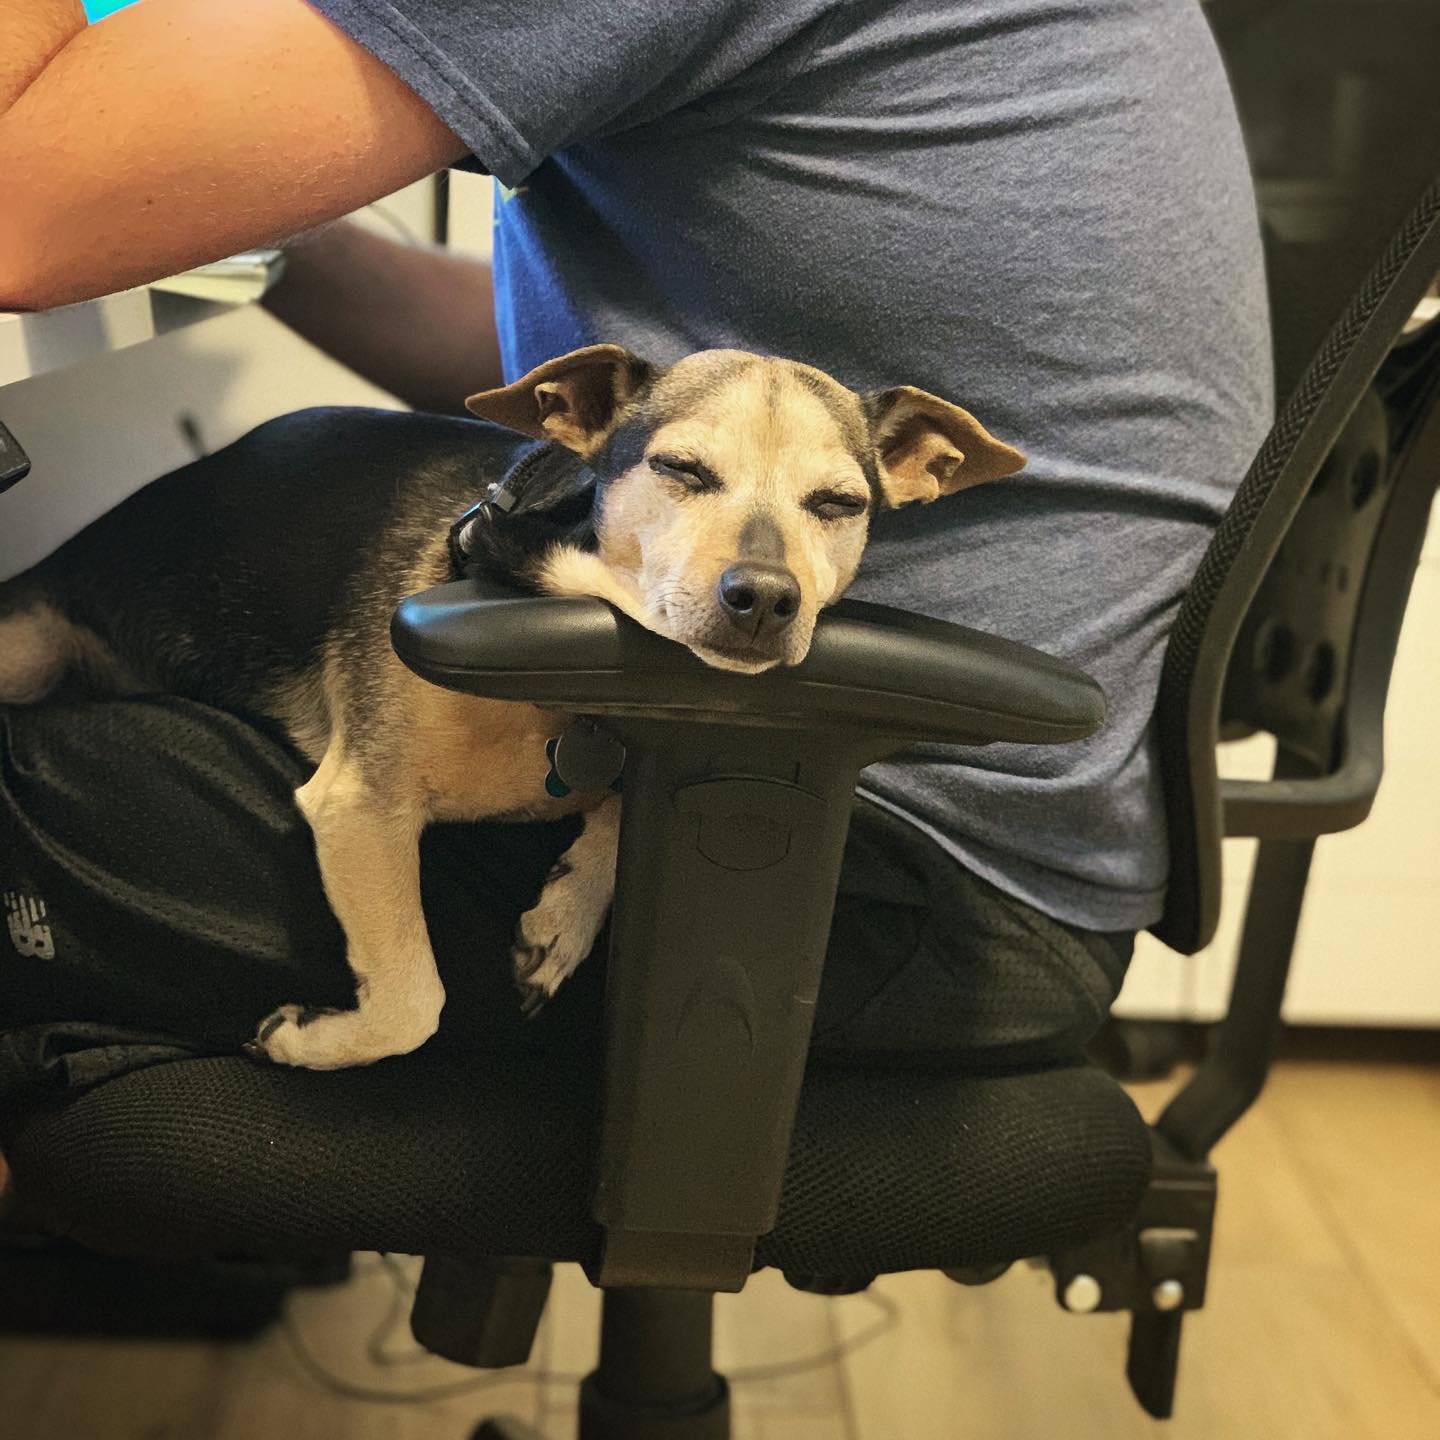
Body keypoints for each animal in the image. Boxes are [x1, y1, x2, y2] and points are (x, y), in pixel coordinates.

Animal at [0, 345, 1025, 1071]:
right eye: (683, 471)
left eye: (840, 504)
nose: (766, 599)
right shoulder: (358, 806)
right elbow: (413, 1000)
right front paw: (308, 1040)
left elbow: (623, 805)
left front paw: (565, 916)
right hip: (29, 642)